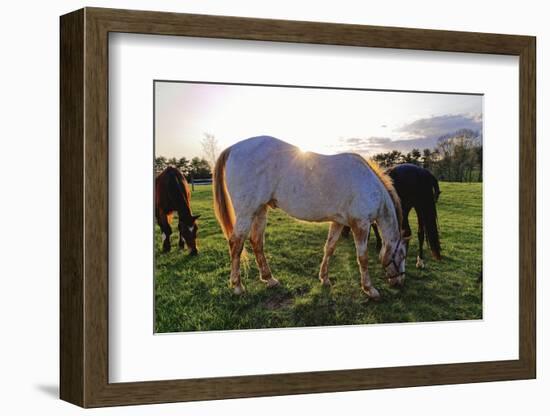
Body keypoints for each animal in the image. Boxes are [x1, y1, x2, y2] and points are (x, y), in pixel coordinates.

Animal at [213, 137, 412, 300]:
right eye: (402, 255)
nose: (399, 282)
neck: (369, 185)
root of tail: (233, 148)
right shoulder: (361, 225)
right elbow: (362, 257)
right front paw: (369, 289)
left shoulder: (338, 222)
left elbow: (329, 248)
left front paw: (324, 278)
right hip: (246, 212)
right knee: (236, 244)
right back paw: (237, 286)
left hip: (260, 210)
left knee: (256, 242)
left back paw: (269, 279)